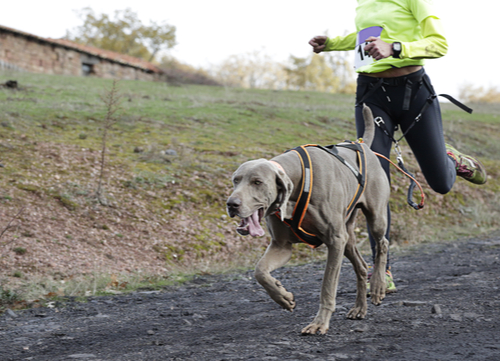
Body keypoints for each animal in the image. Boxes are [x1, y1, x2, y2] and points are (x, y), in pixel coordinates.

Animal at [227, 105, 390, 334]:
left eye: (257, 182)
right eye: (236, 180)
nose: (231, 204)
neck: (298, 180)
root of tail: (362, 144)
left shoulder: (334, 241)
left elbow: (327, 286)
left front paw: (319, 323)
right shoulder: (281, 246)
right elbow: (260, 271)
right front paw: (283, 297)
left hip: (375, 217)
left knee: (383, 243)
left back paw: (377, 286)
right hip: (347, 236)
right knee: (361, 266)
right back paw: (359, 308)